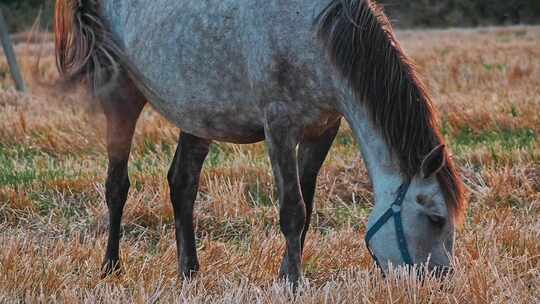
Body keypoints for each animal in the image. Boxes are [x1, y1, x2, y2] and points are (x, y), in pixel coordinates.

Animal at [56, 1, 468, 284]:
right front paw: (292, 282)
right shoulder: (279, 126)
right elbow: (292, 210)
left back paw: (189, 273)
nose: (443, 283)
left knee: (182, 183)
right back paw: (111, 267)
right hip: (120, 93)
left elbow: (306, 209)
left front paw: (287, 274)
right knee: (117, 185)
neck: (316, 37)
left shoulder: (323, 130)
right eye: (435, 218)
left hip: (198, 111)